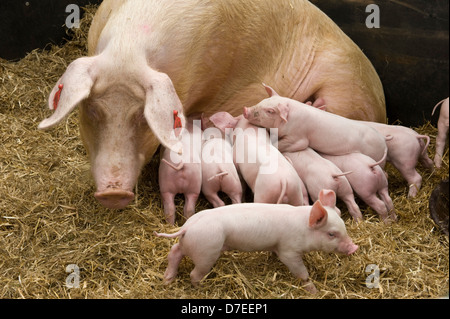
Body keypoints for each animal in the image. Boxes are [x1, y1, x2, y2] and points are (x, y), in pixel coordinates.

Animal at [155, 190, 358, 296]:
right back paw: (202, 288)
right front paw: (314, 291)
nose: (354, 247)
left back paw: (167, 280)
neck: (304, 228)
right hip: (207, 252)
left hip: (189, 244)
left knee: (174, 252)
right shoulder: (289, 250)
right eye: (331, 234)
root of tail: (187, 227)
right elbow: (301, 273)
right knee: (193, 274)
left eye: (343, 226)